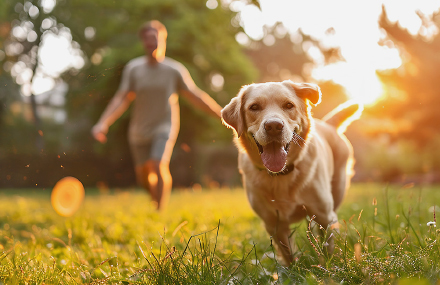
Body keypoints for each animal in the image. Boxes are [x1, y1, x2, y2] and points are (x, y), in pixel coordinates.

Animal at [220, 80, 360, 264]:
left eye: (288, 105)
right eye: (254, 107)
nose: (273, 126)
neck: (281, 175)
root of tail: (328, 124)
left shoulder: (324, 216)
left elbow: (328, 250)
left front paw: (329, 266)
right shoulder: (274, 224)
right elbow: (288, 255)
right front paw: (293, 268)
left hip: (336, 194)